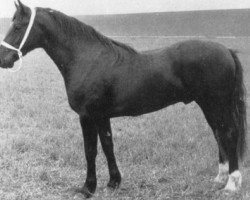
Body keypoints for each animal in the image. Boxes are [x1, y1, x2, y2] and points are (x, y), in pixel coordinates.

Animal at [0, 0, 246, 198]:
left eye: (18, 25)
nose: (4, 59)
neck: (87, 58)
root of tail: (226, 50)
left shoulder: (87, 116)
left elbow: (90, 150)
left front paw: (88, 188)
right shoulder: (102, 116)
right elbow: (108, 146)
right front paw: (113, 183)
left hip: (217, 105)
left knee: (228, 135)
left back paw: (232, 184)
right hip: (209, 106)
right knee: (218, 134)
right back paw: (220, 178)